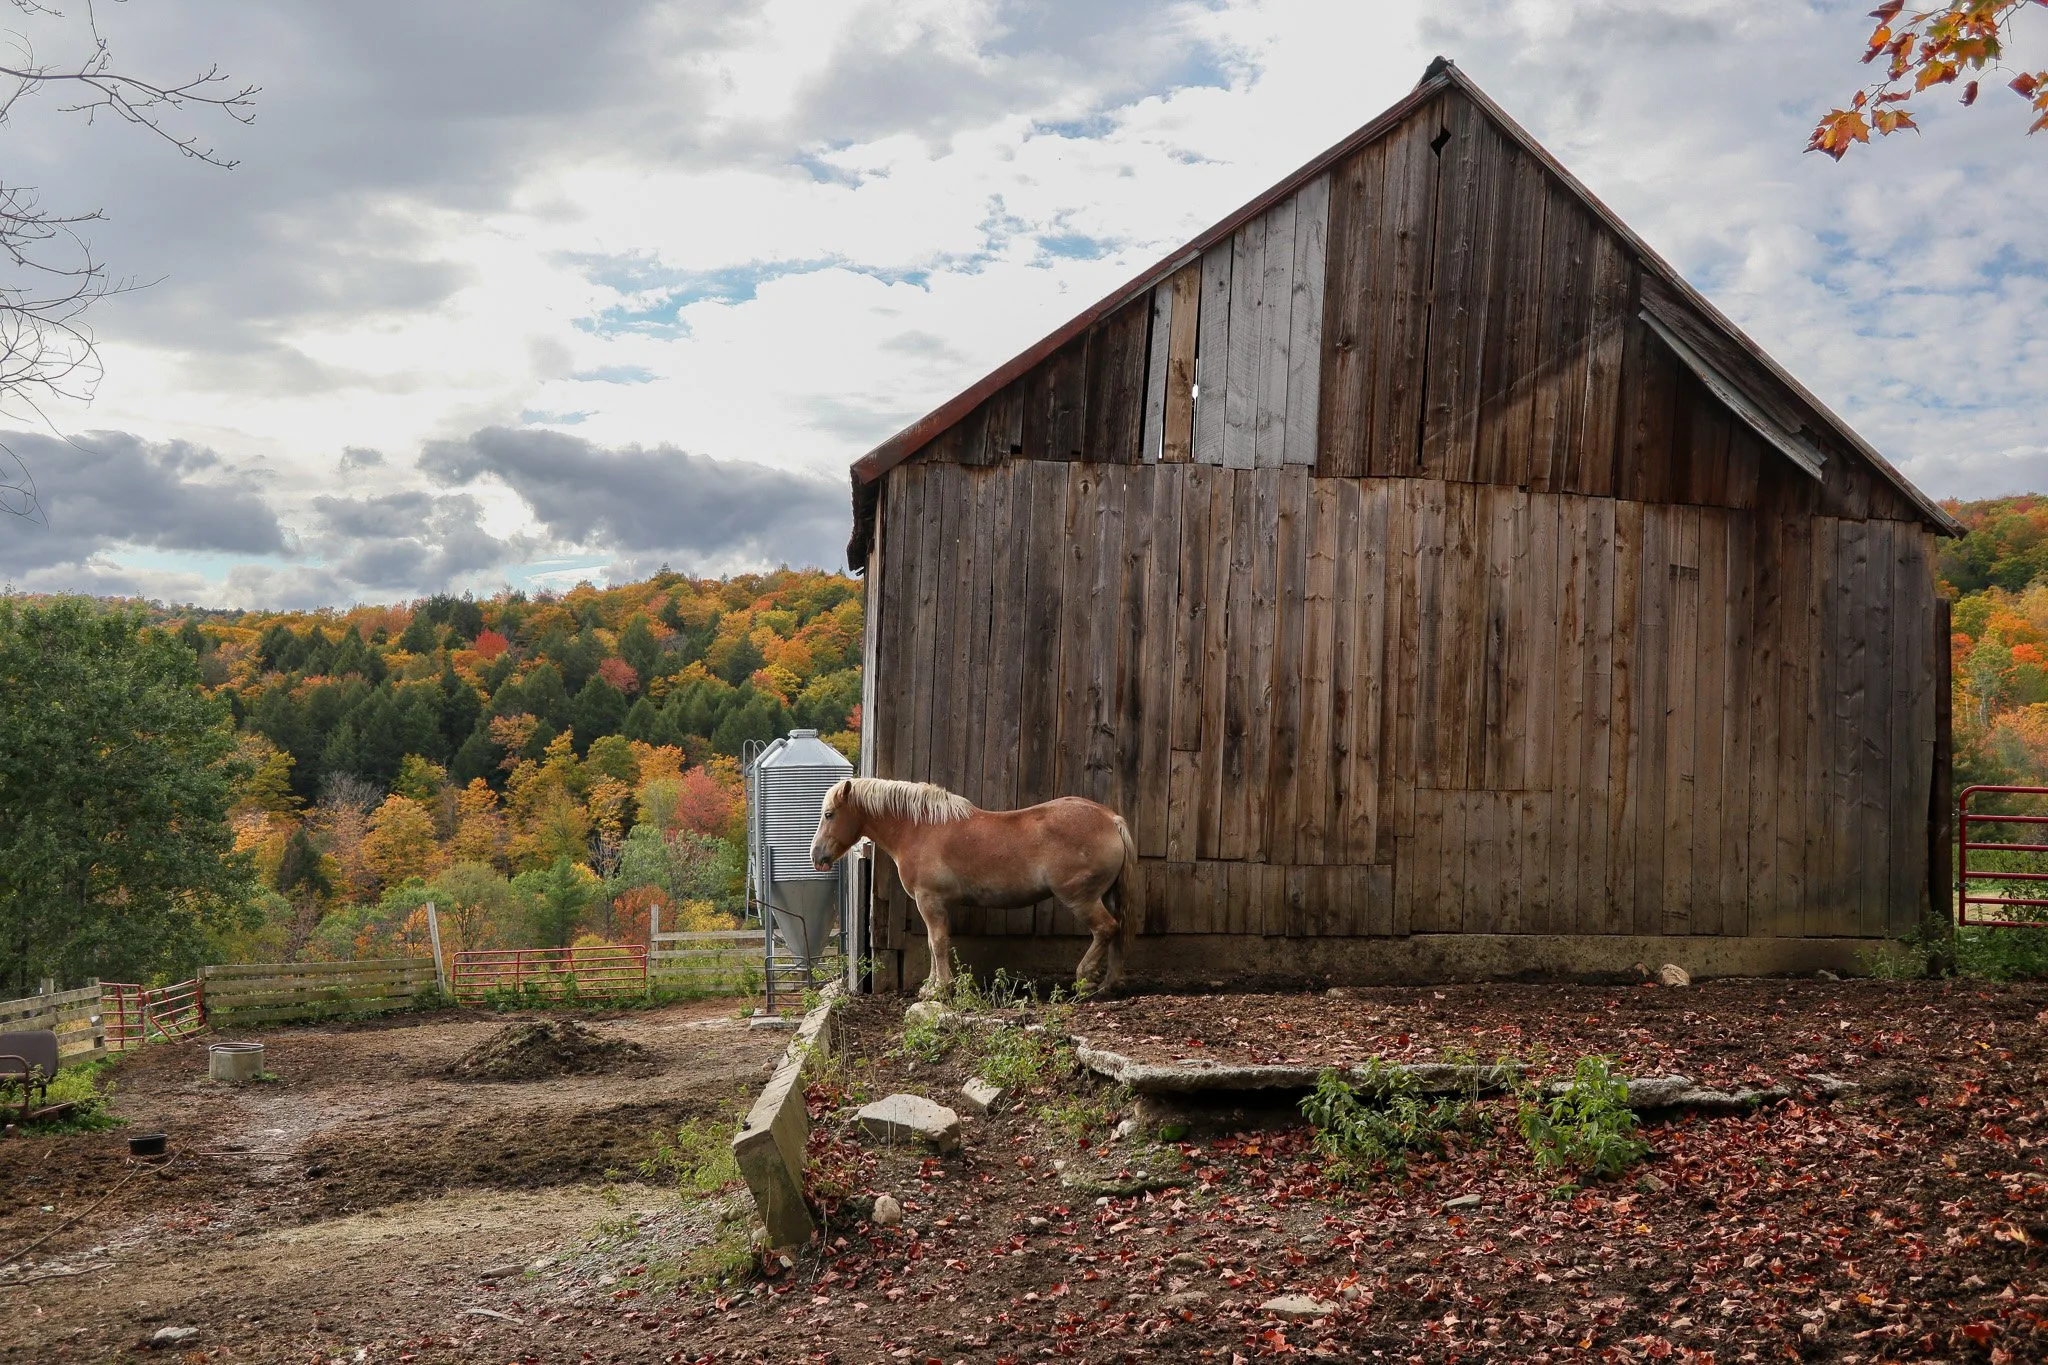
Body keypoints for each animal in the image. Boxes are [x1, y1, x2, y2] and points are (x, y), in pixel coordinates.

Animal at [810, 777, 1137, 998]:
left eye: (829, 814)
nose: (816, 856)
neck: (919, 829)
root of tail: (1110, 819)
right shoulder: (936, 905)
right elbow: (934, 944)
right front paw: (932, 986)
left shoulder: (930, 901)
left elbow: (937, 943)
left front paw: (940, 989)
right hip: (1106, 896)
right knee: (1118, 928)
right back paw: (1111, 982)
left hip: (1081, 899)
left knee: (1105, 929)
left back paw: (1086, 978)